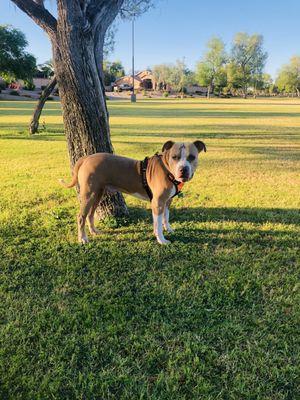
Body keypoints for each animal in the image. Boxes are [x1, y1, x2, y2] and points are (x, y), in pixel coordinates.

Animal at [59, 141, 205, 247]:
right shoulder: (157, 203)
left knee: (90, 214)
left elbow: (166, 216)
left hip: (97, 194)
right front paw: (161, 240)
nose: (183, 169)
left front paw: (168, 228)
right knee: (81, 216)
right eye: (174, 157)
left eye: (192, 157)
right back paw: (83, 238)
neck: (166, 168)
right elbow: (157, 223)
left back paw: (94, 232)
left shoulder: (167, 201)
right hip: (89, 194)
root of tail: (86, 158)